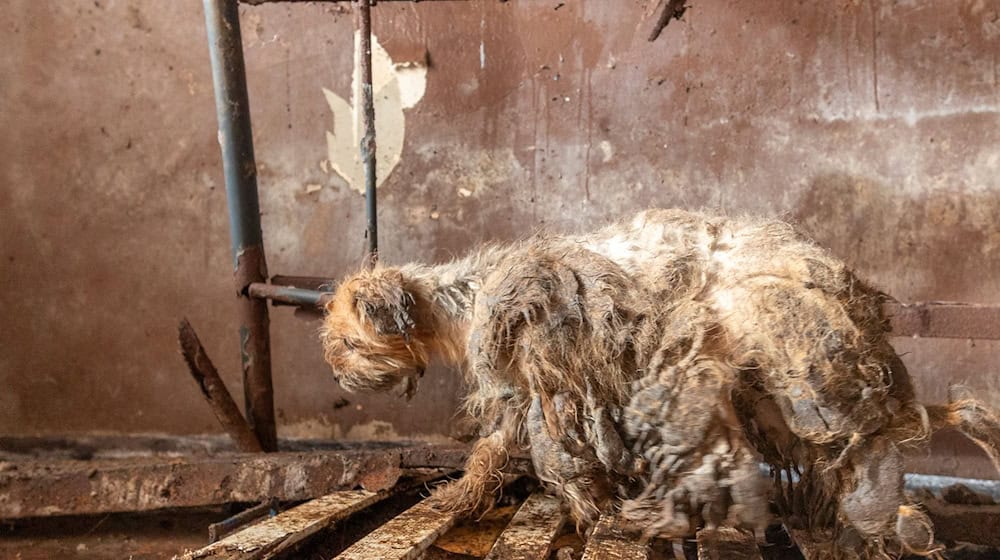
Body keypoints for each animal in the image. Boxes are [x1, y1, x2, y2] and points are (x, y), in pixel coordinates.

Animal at [322, 209, 1000, 556]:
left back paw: (896, 521)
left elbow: (557, 458)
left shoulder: (556, 383)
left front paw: (594, 515)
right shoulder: (529, 392)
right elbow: (491, 454)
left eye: (348, 340)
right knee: (908, 427)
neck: (467, 298)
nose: (336, 373)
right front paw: (457, 501)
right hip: (777, 395)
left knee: (875, 448)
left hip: (809, 378)